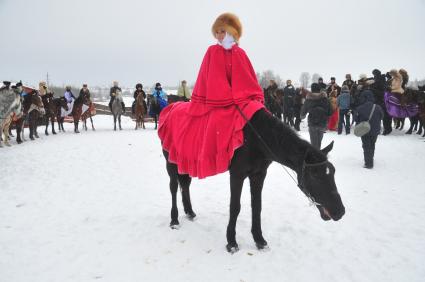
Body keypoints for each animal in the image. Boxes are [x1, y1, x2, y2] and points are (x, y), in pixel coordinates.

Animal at [162, 108, 344, 253]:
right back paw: (174, 220)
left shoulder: (258, 174)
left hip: (185, 163)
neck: (256, 138)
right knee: (173, 187)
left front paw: (259, 240)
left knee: (185, 185)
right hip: (171, 163)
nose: (339, 211)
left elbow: (257, 206)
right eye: (314, 174)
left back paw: (189, 212)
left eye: (333, 172)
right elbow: (235, 207)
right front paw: (231, 242)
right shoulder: (237, 175)